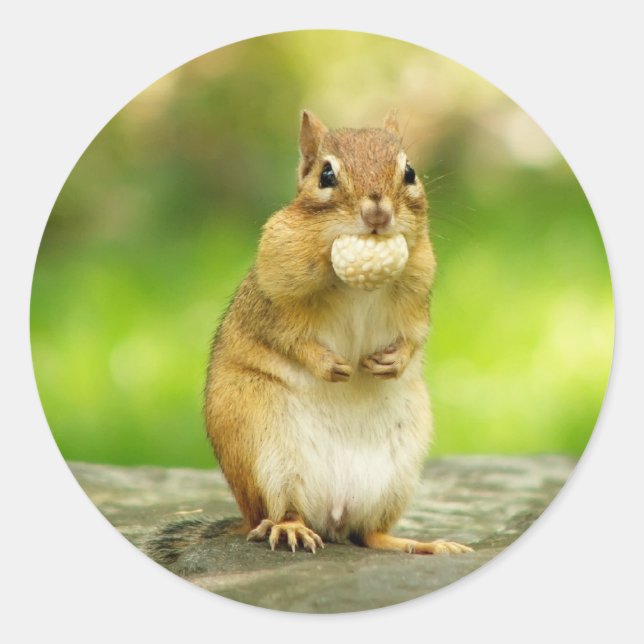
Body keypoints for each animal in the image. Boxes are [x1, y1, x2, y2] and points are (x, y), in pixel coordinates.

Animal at [147, 110, 472, 561]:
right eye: (326, 175)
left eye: (409, 172)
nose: (377, 214)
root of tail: (332, 515)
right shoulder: (274, 294)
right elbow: (287, 336)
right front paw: (329, 365)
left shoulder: (418, 291)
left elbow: (415, 335)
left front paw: (392, 361)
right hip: (265, 452)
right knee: (281, 512)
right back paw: (291, 529)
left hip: (398, 474)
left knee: (370, 535)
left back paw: (426, 544)